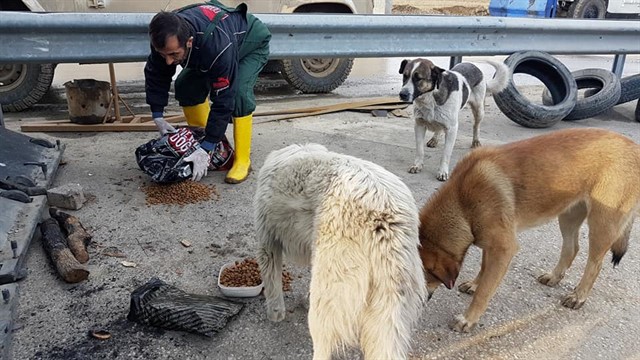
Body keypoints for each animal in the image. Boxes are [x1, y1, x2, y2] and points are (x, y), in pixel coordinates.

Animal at [254, 144, 424, 360]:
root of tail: (383, 216)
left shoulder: (267, 241)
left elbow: (272, 283)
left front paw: (275, 313)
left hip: (328, 296)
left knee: (322, 344)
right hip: (392, 307)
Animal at [420, 128, 640, 334]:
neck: (462, 201)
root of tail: (634, 148)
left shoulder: (503, 249)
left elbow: (484, 291)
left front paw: (468, 319)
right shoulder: (490, 245)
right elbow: (483, 269)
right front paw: (475, 284)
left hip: (602, 224)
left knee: (595, 264)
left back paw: (579, 296)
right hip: (568, 215)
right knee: (572, 249)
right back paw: (554, 277)